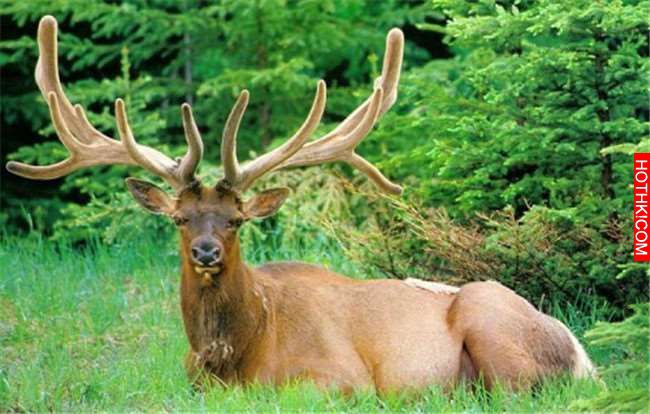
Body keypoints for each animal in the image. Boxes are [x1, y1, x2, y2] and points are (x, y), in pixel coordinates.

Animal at [7, 16, 596, 395]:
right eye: (179, 218)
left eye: (236, 220)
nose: (205, 252)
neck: (233, 358)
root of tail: (582, 354)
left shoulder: (340, 379)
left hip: (492, 324)